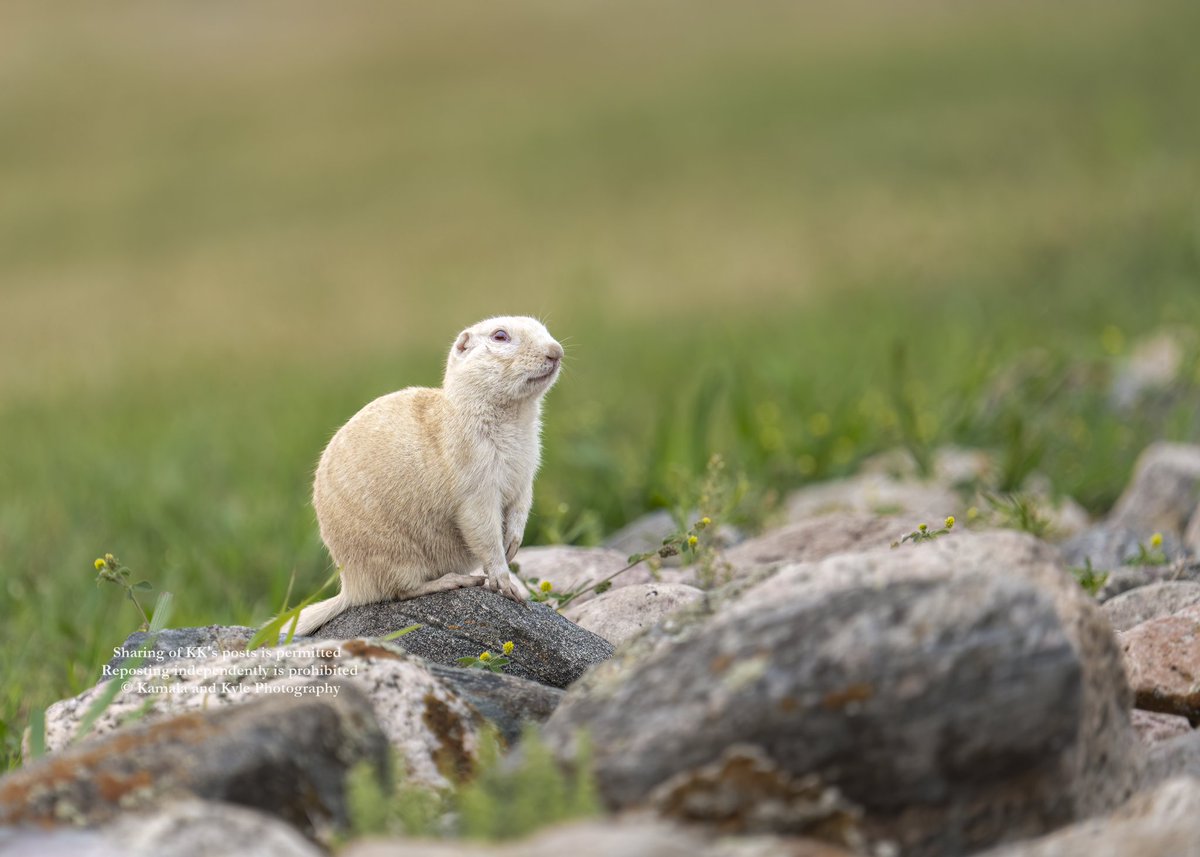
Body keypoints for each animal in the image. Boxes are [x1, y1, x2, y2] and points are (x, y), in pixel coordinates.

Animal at [292, 316, 563, 635]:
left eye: (544, 329)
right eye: (500, 336)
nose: (556, 351)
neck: (516, 416)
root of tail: (351, 587)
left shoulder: (526, 471)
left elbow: (522, 504)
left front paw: (513, 545)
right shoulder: (474, 480)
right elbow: (482, 528)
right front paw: (506, 583)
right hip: (393, 555)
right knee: (400, 591)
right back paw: (456, 580)